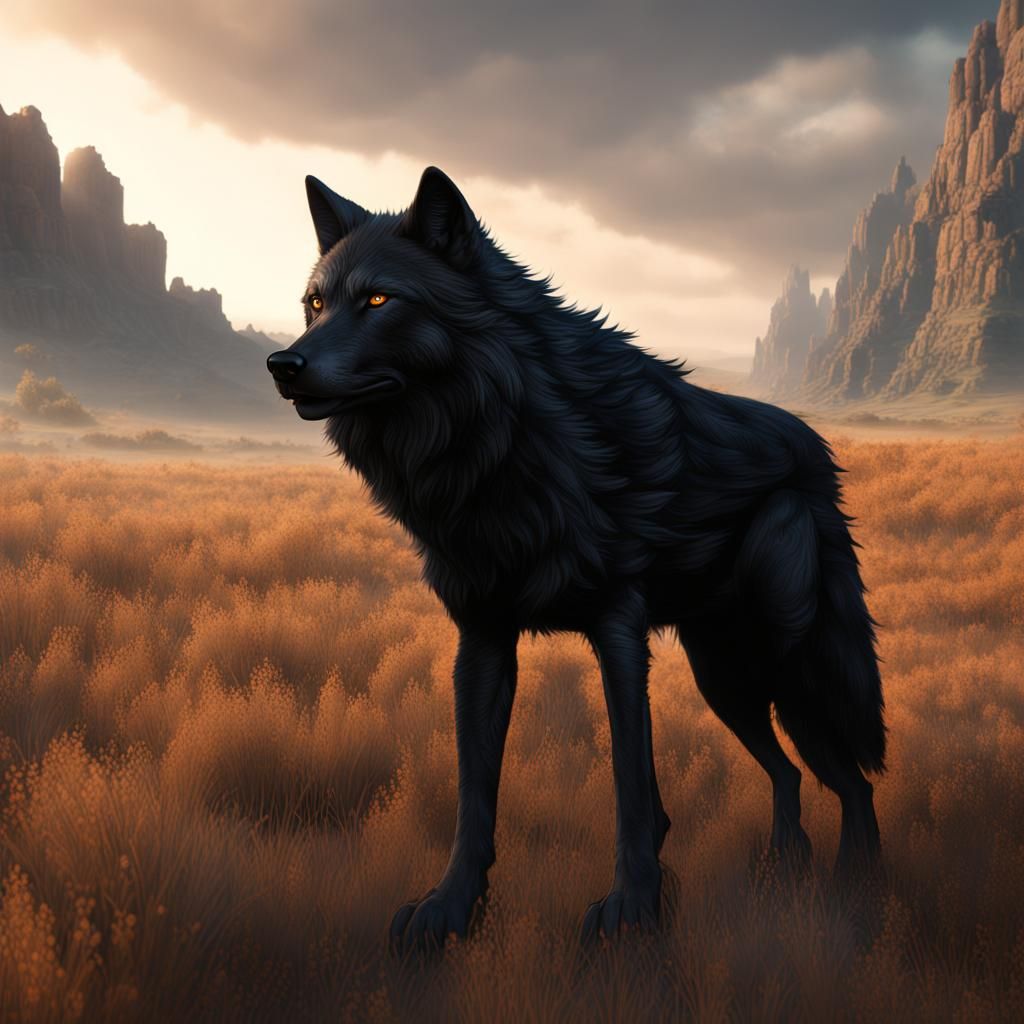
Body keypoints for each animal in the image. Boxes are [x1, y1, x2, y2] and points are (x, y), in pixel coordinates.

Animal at [266, 167, 886, 954]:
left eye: (378, 300)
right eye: (314, 306)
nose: (283, 364)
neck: (505, 436)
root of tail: (818, 451)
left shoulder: (618, 634)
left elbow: (631, 787)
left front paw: (632, 910)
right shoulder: (483, 640)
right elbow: (475, 793)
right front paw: (451, 909)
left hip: (785, 663)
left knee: (851, 778)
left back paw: (856, 890)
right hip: (724, 676)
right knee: (789, 774)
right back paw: (787, 869)